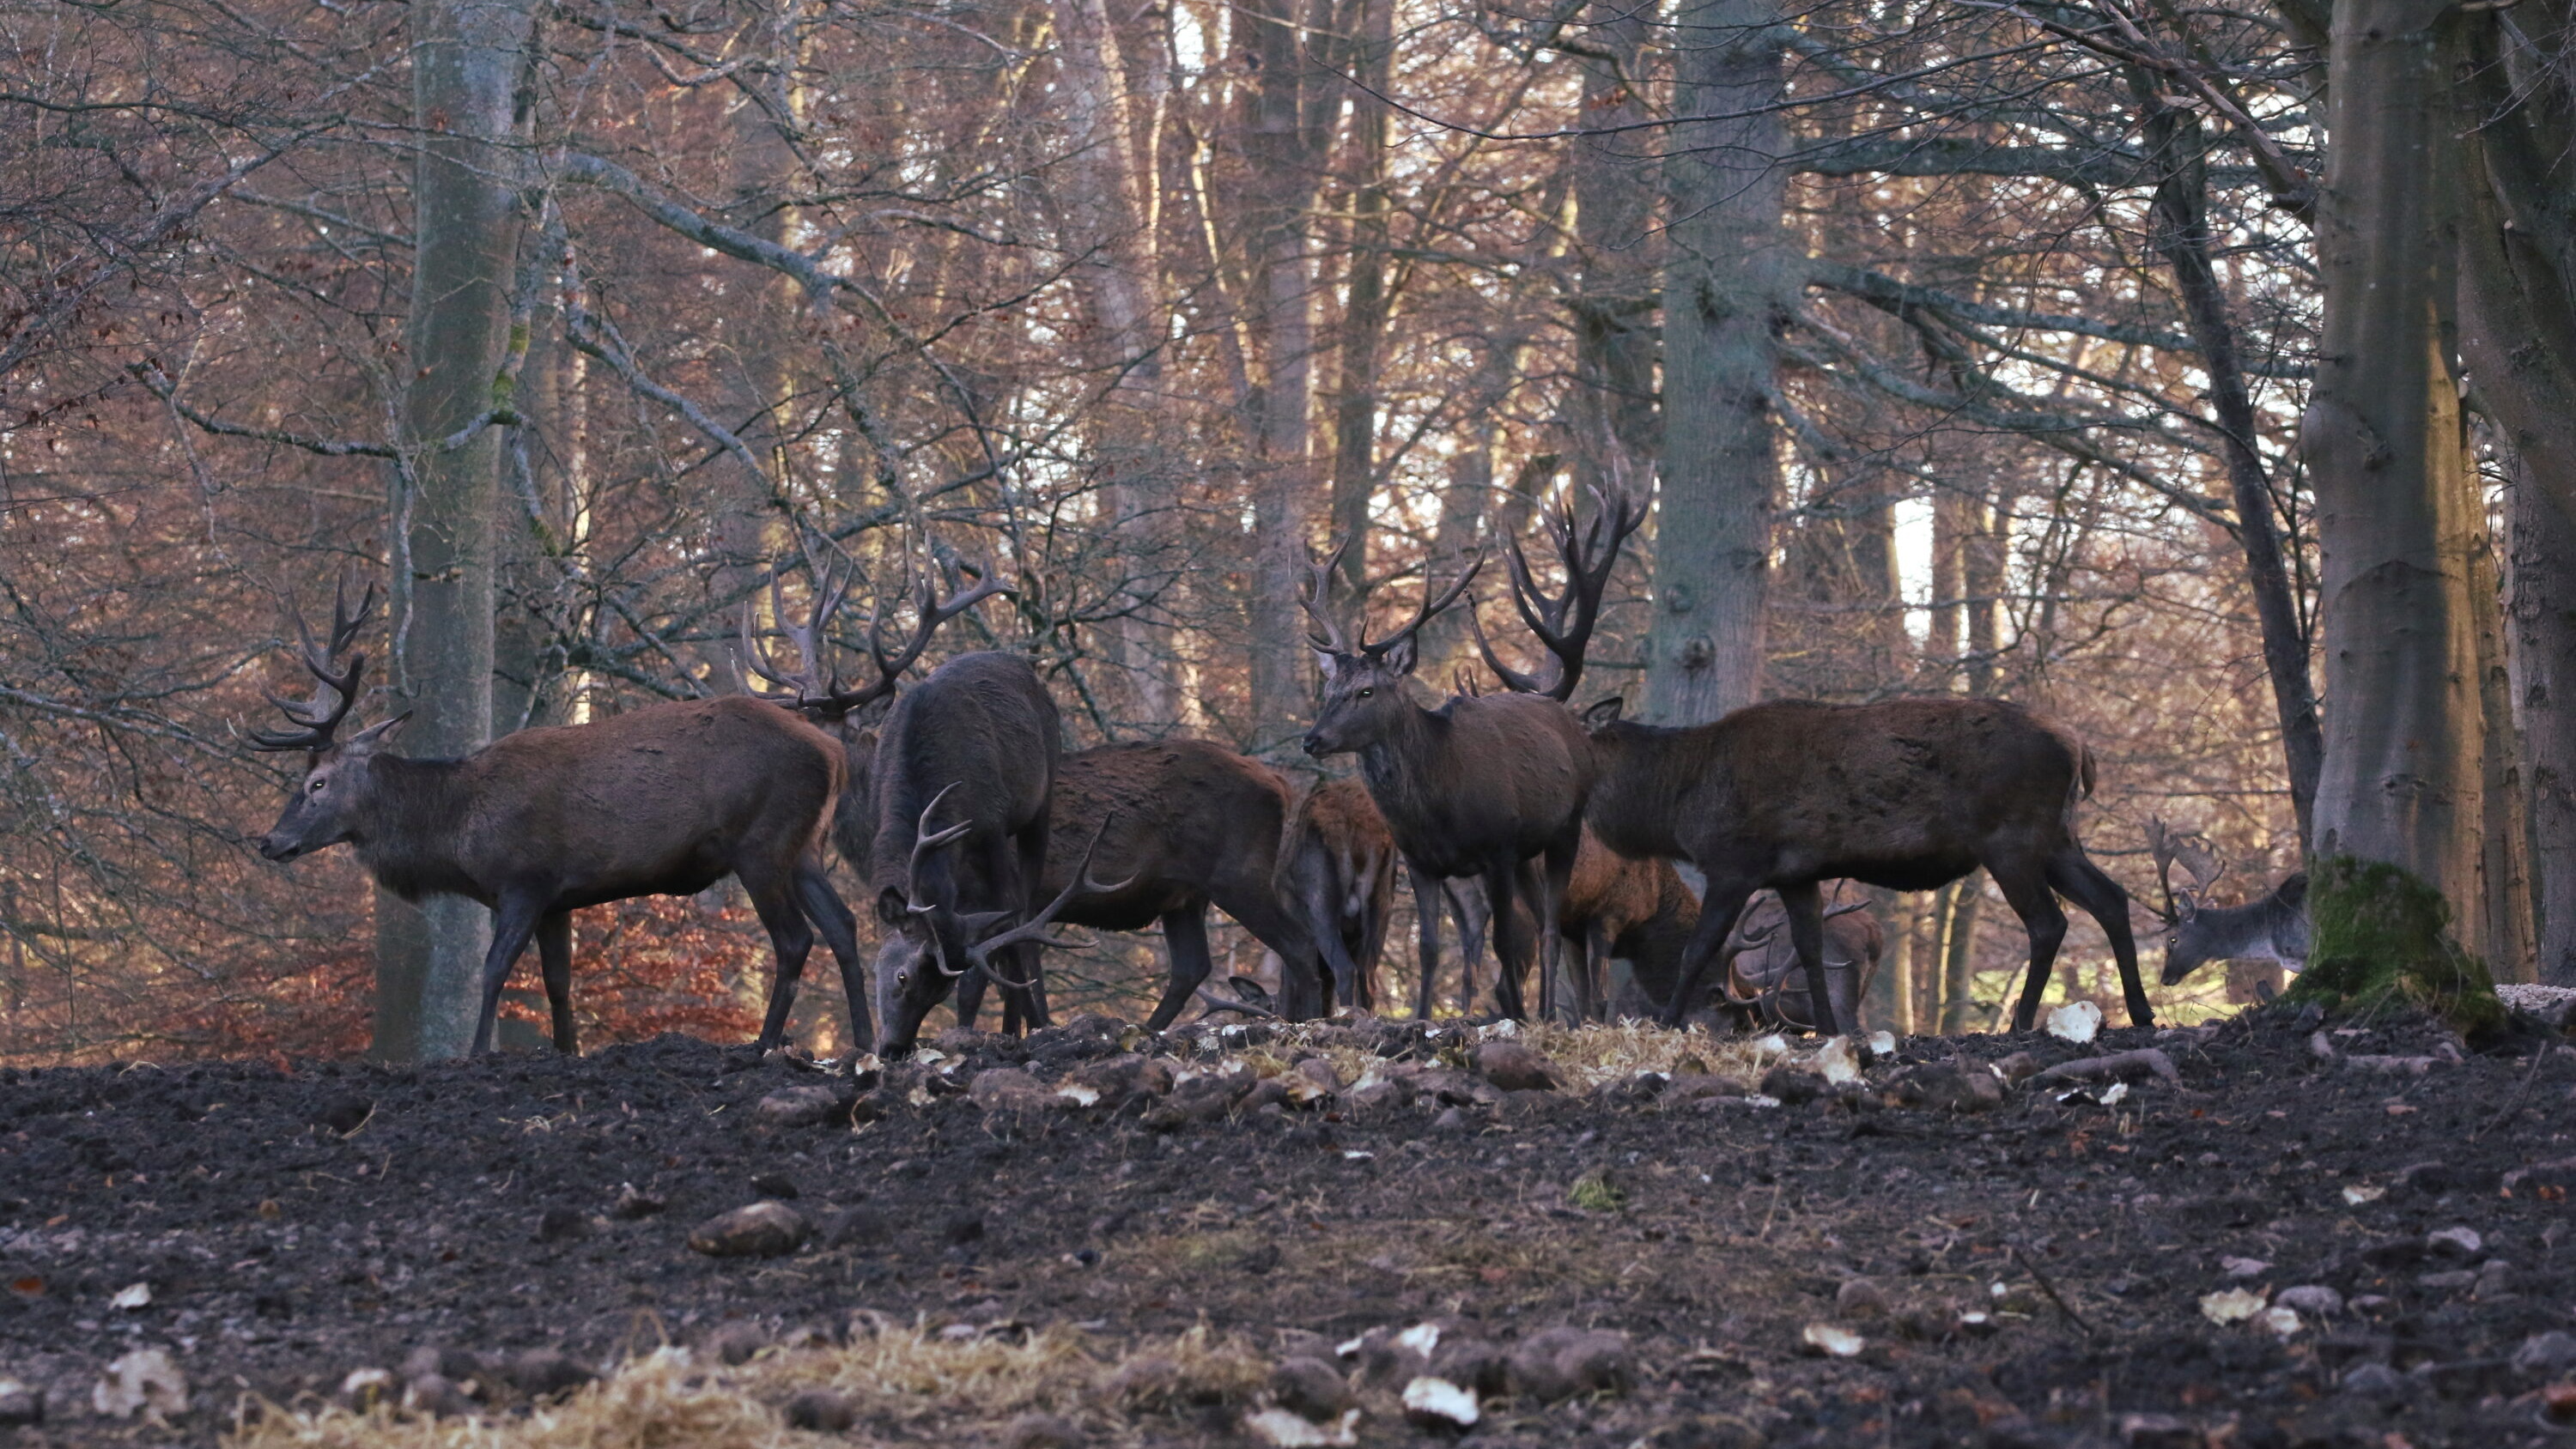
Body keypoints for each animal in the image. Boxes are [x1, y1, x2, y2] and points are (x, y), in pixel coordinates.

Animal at [249, 576, 873, 1056]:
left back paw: (764, 1044)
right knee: (844, 924)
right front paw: (567, 1051)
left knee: (795, 938)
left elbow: (493, 969)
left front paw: (478, 1054)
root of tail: (834, 753)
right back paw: (865, 1043)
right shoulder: (558, 900)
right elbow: (558, 985)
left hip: (761, 842)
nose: (268, 841)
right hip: (805, 847)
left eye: (317, 784)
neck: (457, 831)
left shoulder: (525, 879)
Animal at [1578, 692, 2150, 1038]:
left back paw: (2021, 1023)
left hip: (2013, 840)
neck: (1679, 805)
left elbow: (1698, 950)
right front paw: (1831, 1030)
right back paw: (2142, 1012)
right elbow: (1809, 950)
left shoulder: (1734, 861)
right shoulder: (1796, 875)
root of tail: (2081, 749)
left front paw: (1667, 1023)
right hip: (2058, 839)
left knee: (2049, 923)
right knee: (2110, 898)